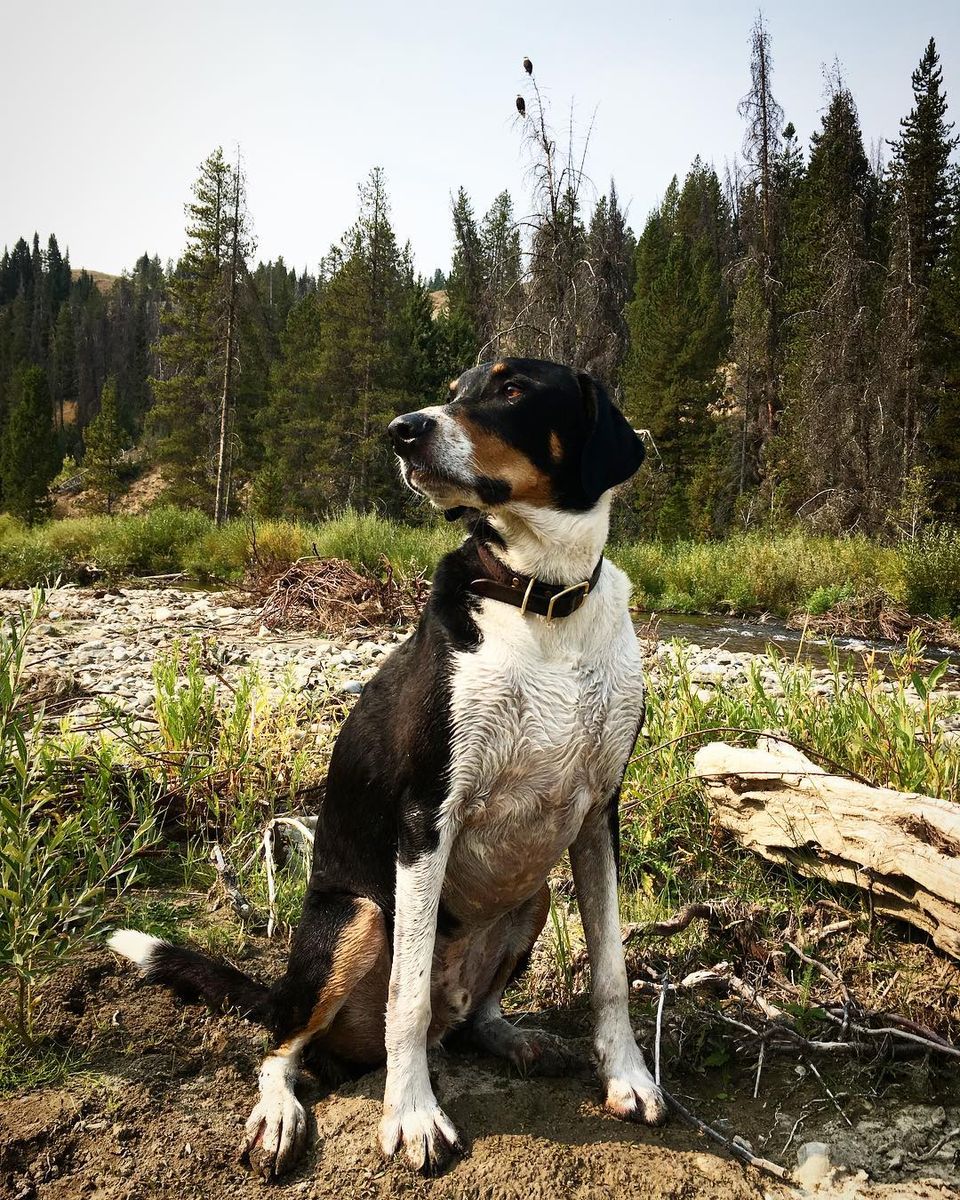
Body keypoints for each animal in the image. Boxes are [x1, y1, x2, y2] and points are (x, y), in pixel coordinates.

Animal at [108, 357, 662, 1180]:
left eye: (511, 389)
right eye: (455, 387)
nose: (403, 430)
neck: (543, 600)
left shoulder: (598, 814)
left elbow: (611, 972)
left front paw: (627, 1077)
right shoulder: (426, 815)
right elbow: (407, 991)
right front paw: (411, 1116)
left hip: (531, 897)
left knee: (471, 1016)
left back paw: (516, 1037)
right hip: (358, 918)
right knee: (284, 1045)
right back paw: (279, 1113)